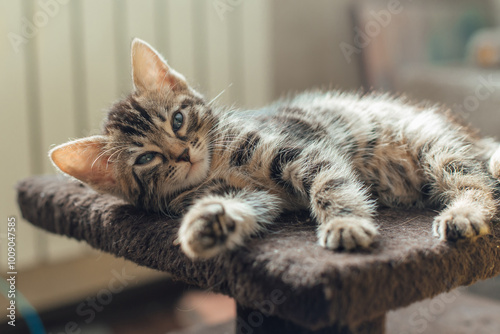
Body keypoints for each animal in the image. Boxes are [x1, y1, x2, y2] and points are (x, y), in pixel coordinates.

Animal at [50, 38, 500, 258]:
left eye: (177, 120)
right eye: (146, 158)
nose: (183, 154)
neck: (217, 165)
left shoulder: (299, 149)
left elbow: (332, 187)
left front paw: (345, 224)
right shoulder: (255, 194)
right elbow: (245, 206)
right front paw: (205, 226)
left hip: (434, 147)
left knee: (477, 183)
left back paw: (463, 214)